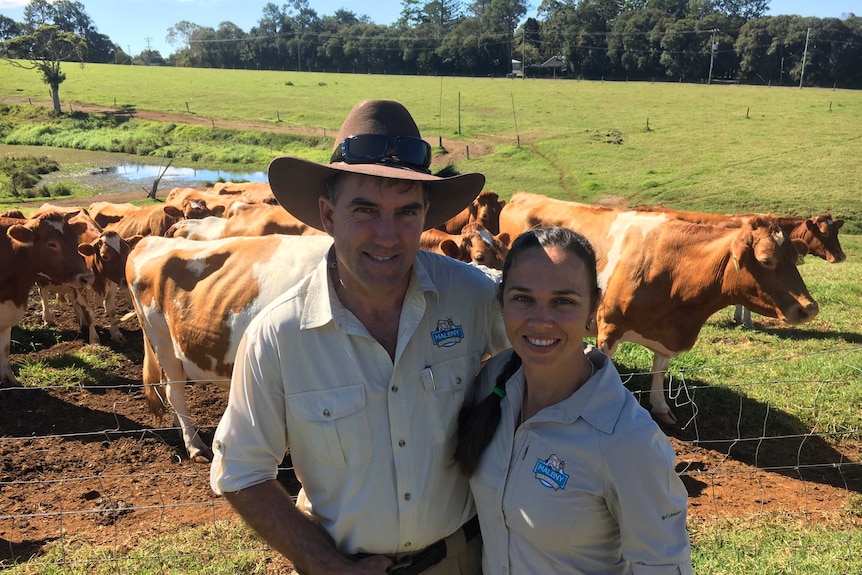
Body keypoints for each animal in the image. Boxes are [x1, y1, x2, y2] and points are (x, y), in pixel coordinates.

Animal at [496, 196, 820, 426]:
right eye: (766, 260)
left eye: (794, 257)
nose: (809, 308)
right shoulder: (609, 326)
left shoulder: (668, 332)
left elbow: (660, 368)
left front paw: (661, 406)